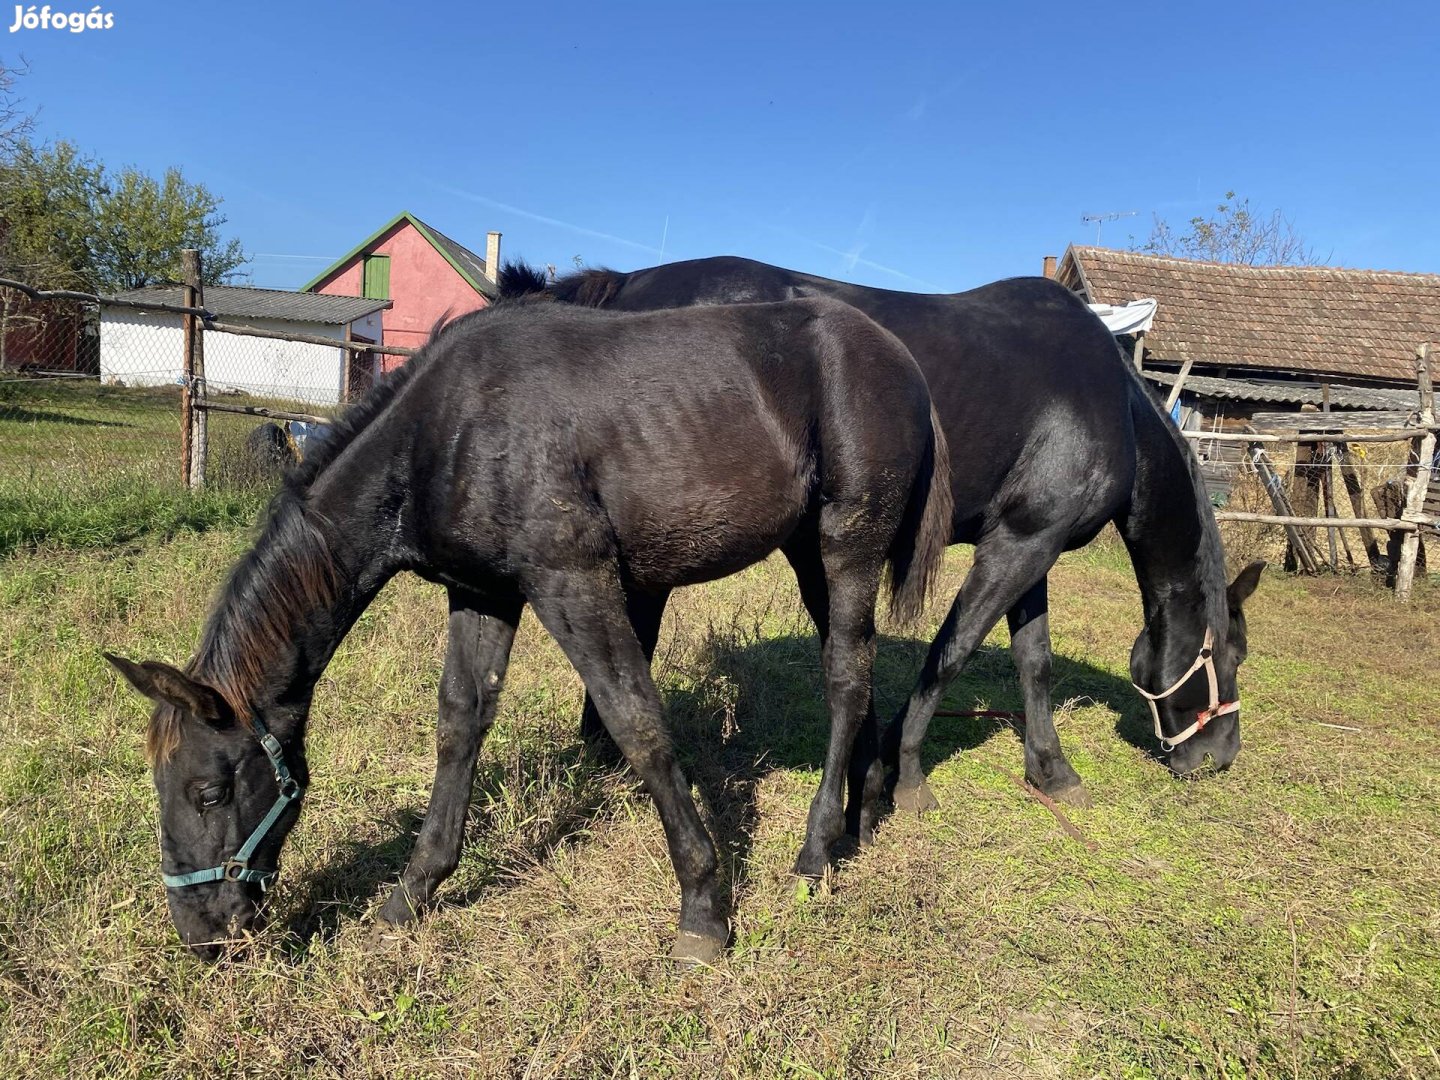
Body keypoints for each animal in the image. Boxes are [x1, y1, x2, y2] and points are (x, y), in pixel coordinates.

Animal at [104, 296, 956, 961]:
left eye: (210, 791)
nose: (202, 935)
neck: (444, 431)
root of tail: (903, 362)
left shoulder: (572, 581)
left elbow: (636, 722)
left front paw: (702, 908)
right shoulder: (482, 594)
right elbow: (460, 723)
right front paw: (413, 892)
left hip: (847, 546)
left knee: (844, 680)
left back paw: (814, 853)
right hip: (809, 554)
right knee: (855, 664)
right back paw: (859, 812)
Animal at [501, 256, 1267, 812]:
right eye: (1231, 653)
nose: (1219, 756)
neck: (1112, 404)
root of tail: (626, 285)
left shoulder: (1035, 545)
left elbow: (1034, 663)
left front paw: (1051, 771)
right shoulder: (1016, 543)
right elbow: (950, 652)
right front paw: (906, 772)